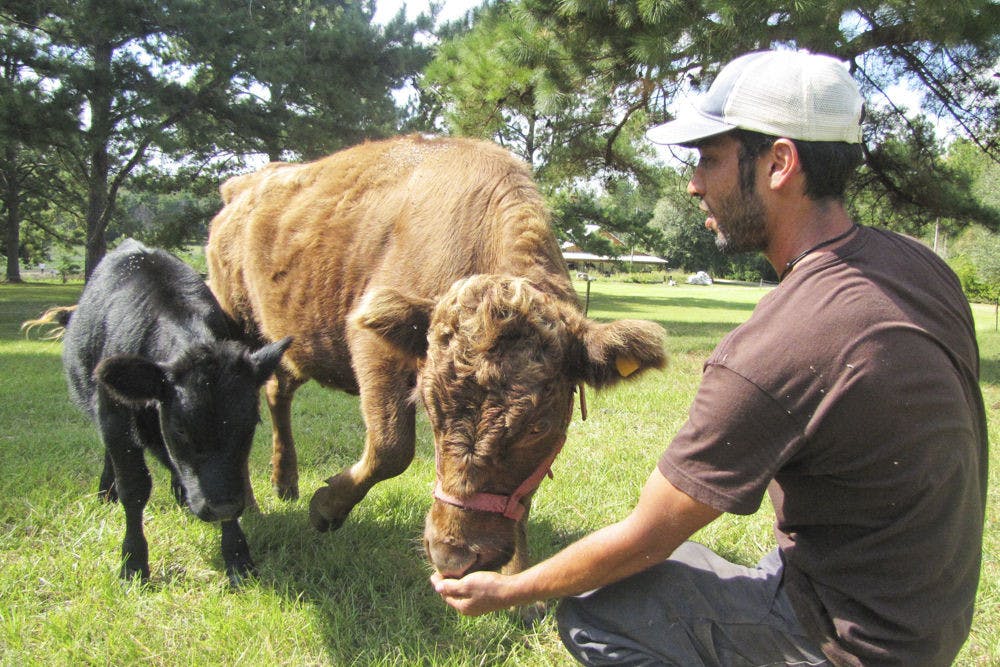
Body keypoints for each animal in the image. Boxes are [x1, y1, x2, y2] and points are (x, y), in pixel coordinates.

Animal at [25, 240, 290, 585]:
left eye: (250, 425)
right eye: (180, 429)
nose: (220, 507)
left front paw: (238, 559)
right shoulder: (115, 417)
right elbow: (135, 487)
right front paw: (133, 562)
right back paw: (107, 493)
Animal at [206, 134, 667, 579]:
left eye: (539, 426)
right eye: (432, 409)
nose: (452, 556)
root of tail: (241, 186)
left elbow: (523, 498)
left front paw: (515, 577)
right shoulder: (375, 351)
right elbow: (392, 447)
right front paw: (324, 508)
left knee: (276, 391)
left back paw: (284, 483)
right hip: (237, 326)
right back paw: (250, 504)